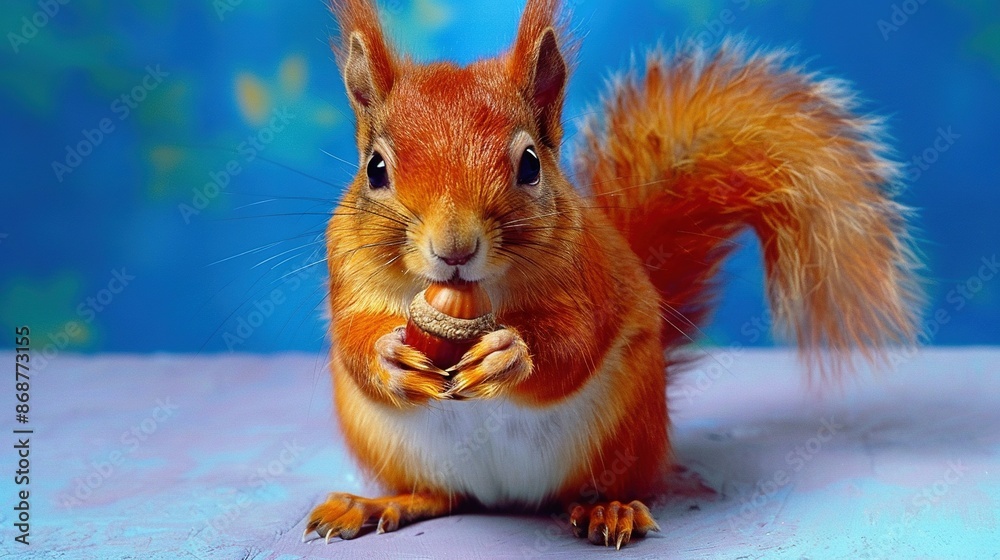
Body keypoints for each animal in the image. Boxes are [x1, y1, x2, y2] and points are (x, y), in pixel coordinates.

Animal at [304, 0, 920, 548]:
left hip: (624, 431)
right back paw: (373, 504)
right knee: (440, 496)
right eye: (375, 169)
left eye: (530, 164)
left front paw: (509, 352)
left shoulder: (589, 273)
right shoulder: (347, 269)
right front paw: (391, 357)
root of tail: (505, 497)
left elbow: (574, 344)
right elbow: (353, 337)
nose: (454, 248)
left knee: (592, 489)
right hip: (391, 447)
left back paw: (610, 510)